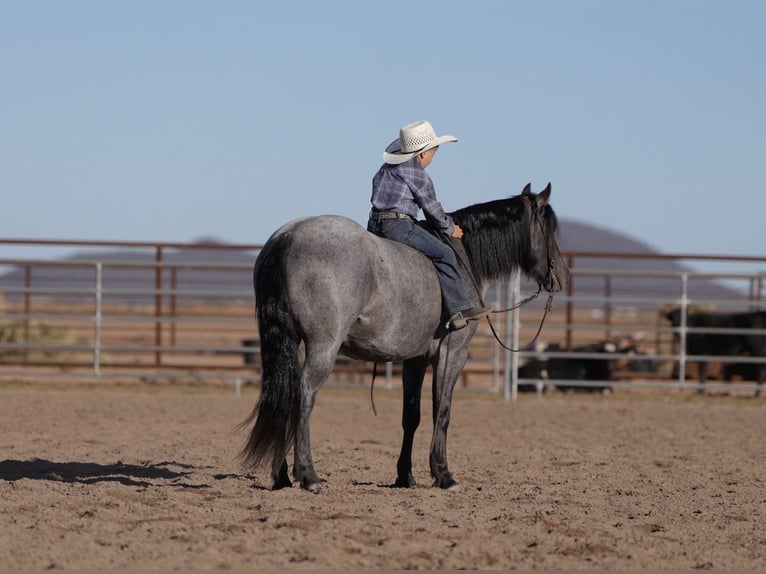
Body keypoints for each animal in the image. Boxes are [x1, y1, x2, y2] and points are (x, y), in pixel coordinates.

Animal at [240, 183, 569, 491]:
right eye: (549, 229)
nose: (562, 277)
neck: (464, 258)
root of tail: (287, 237)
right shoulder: (452, 353)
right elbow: (442, 410)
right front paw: (443, 474)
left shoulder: (415, 360)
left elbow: (411, 416)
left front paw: (405, 476)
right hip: (323, 347)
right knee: (304, 396)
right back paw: (308, 475)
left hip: (289, 345)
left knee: (284, 395)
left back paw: (281, 476)